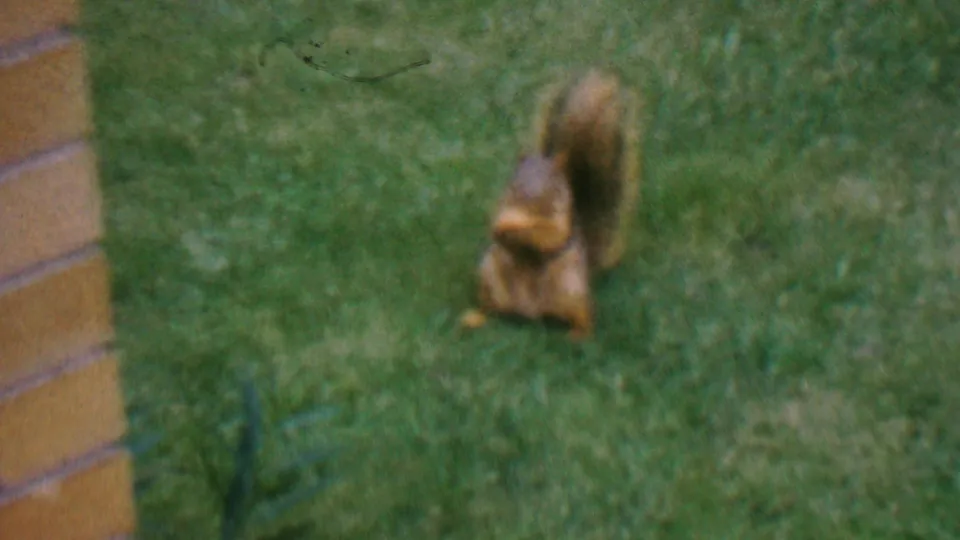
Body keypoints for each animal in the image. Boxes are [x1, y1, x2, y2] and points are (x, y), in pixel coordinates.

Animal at [460, 67, 642, 340]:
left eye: (554, 186)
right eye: (514, 181)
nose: (527, 200)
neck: (529, 214)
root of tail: (531, 312)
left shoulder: (561, 222)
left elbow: (548, 237)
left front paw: (520, 228)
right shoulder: (502, 205)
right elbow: (498, 230)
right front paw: (503, 226)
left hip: (570, 291)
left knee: (584, 314)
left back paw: (580, 334)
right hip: (490, 281)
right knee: (491, 310)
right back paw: (475, 318)